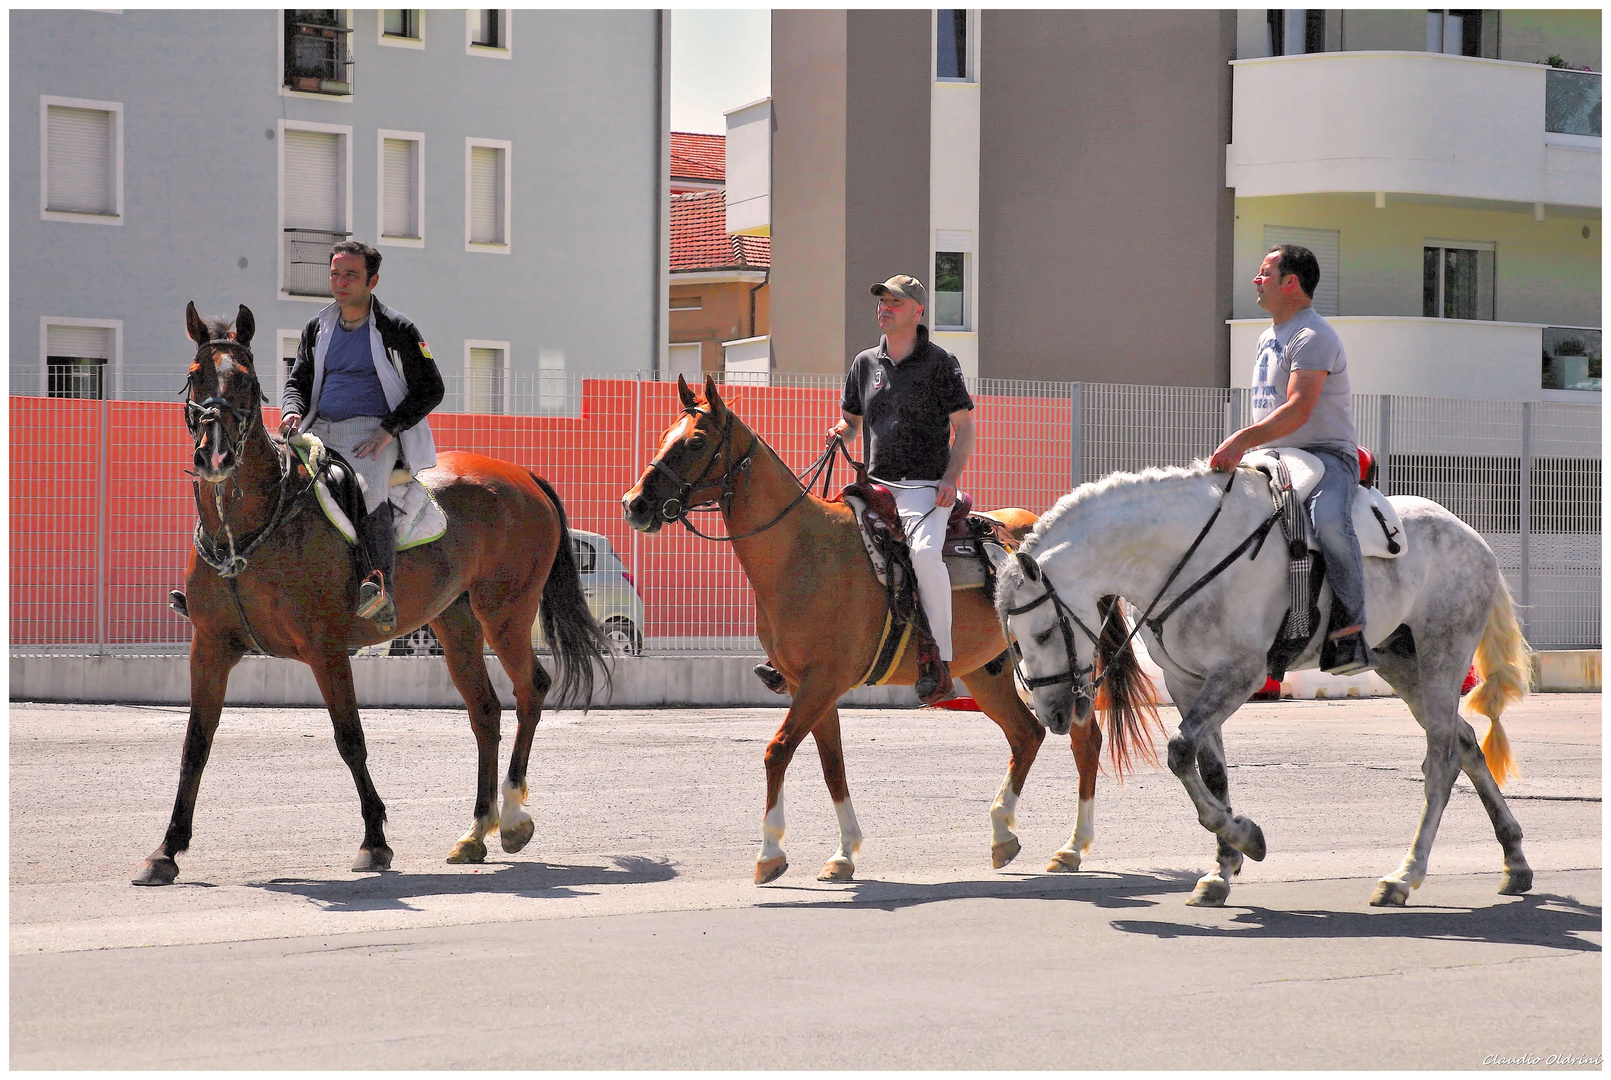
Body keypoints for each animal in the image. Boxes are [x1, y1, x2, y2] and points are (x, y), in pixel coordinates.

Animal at [130, 304, 608, 889]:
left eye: (245, 379)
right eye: (196, 376)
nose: (214, 455)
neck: (247, 529)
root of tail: (522, 476)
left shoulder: (326, 649)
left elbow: (349, 739)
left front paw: (375, 841)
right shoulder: (211, 647)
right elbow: (195, 743)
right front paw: (167, 849)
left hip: (505, 613)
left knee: (531, 689)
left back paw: (514, 817)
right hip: (456, 622)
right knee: (485, 710)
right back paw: (476, 831)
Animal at [615, 377, 1159, 883]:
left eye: (694, 441)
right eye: (664, 435)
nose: (633, 504)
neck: (801, 550)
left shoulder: (820, 683)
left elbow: (777, 752)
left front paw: (770, 854)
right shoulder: (811, 686)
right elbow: (831, 763)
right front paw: (843, 853)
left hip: (1064, 666)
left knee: (1084, 742)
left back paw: (1072, 847)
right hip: (988, 671)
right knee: (1027, 735)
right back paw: (1003, 835)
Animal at [992, 461, 1533, 909]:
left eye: (1044, 632)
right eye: (1013, 640)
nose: (1054, 714)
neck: (1185, 556)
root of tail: (1471, 534)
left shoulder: (1240, 673)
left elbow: (1179, 751)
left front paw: (1247, 839)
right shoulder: (1187, 681)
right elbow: (1210, 770)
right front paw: (1222, 869)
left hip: (1442, 656)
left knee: (1441, 761)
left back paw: (1404, 876)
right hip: (1402, 663)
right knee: (1465, 742)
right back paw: (1515, 860)